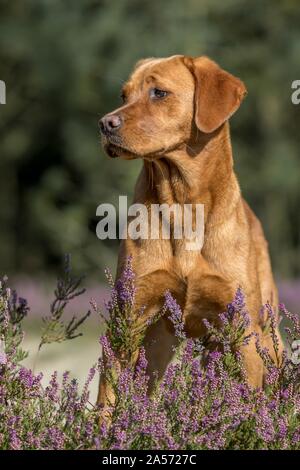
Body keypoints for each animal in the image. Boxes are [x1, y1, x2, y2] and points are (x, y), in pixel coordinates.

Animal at [98, 54, 284, 404]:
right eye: (123, 95)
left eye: (158, 92)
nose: (104, 124)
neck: (183, 204)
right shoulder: (128, 320)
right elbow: (109, 399)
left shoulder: (244, 330)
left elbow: (251, 406)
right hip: (158, 345)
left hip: (267, 336)